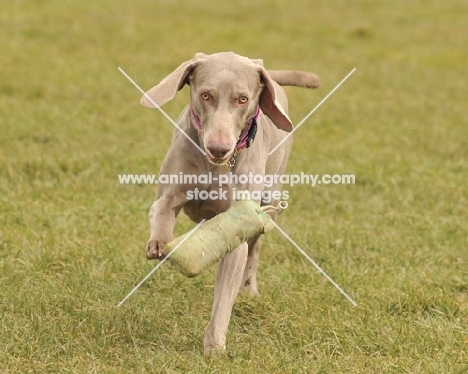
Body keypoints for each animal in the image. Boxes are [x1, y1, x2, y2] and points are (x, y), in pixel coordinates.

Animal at [141, 51, 320, 356]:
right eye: (205, 95)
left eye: (242, 99)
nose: (218, 148)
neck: (214, 166)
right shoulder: (170, 191)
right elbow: (163, 207)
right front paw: (160, 243)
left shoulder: (238, 226)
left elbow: (225, 292)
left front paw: (214, 344)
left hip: (270, 200)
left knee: (255, 248)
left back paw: (249, 289)